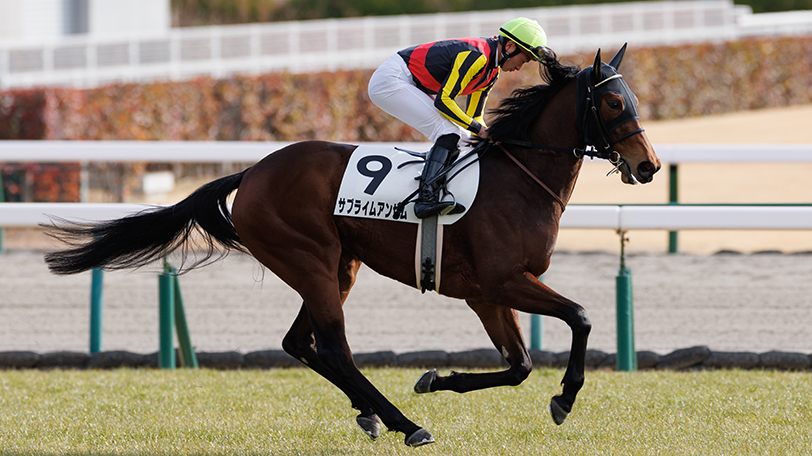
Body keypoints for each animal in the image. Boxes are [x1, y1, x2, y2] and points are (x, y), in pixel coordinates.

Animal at [44, 45, 660, 446]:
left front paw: (439, 378)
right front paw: (564, 398)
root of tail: (252, 173)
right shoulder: (501, 281)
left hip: (338, 265)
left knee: (300, 342)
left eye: (631, 99)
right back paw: (406, 424)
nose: (649, 166)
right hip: (311, 261)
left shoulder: (487, 294)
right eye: (612, 104)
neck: (519, 176)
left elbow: (520, 364)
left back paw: (373, 415)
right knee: (334, 348)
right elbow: (579, 317)